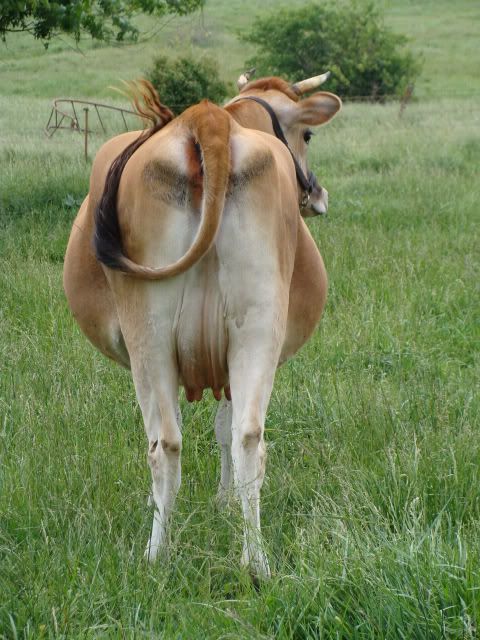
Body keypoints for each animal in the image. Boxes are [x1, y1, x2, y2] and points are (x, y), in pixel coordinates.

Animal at [63, 73, 341, 579]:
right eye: (308, 135)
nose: (317, 195)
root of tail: (209, 120)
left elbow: (216, 429)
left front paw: (219, 504)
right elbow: (226, 429)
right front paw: (225, 504)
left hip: (151, 333)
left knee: (166, 444)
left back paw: (159, 556)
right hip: (254, 327)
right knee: (247, 438)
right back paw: (253, 564)